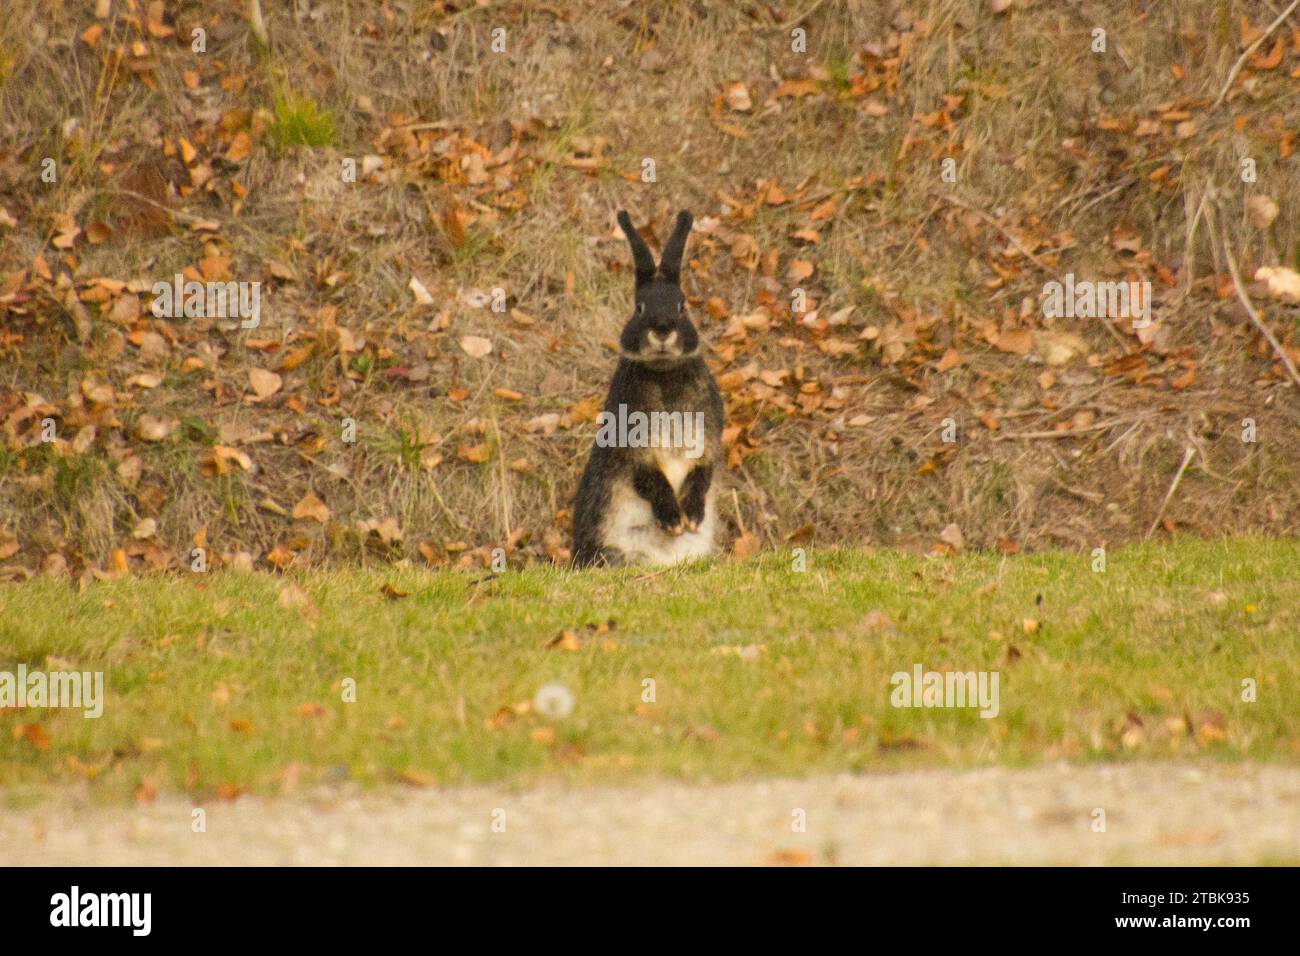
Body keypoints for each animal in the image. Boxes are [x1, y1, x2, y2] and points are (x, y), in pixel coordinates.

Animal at [572, 209, 725, 567]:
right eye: (639, 307)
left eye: (683, 306)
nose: (663, 327)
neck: (664, 373)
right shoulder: (631, 446)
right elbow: (649, 478)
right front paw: (673, 520)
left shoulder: (707, 441)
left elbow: (702, 472)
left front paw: (691, 517)